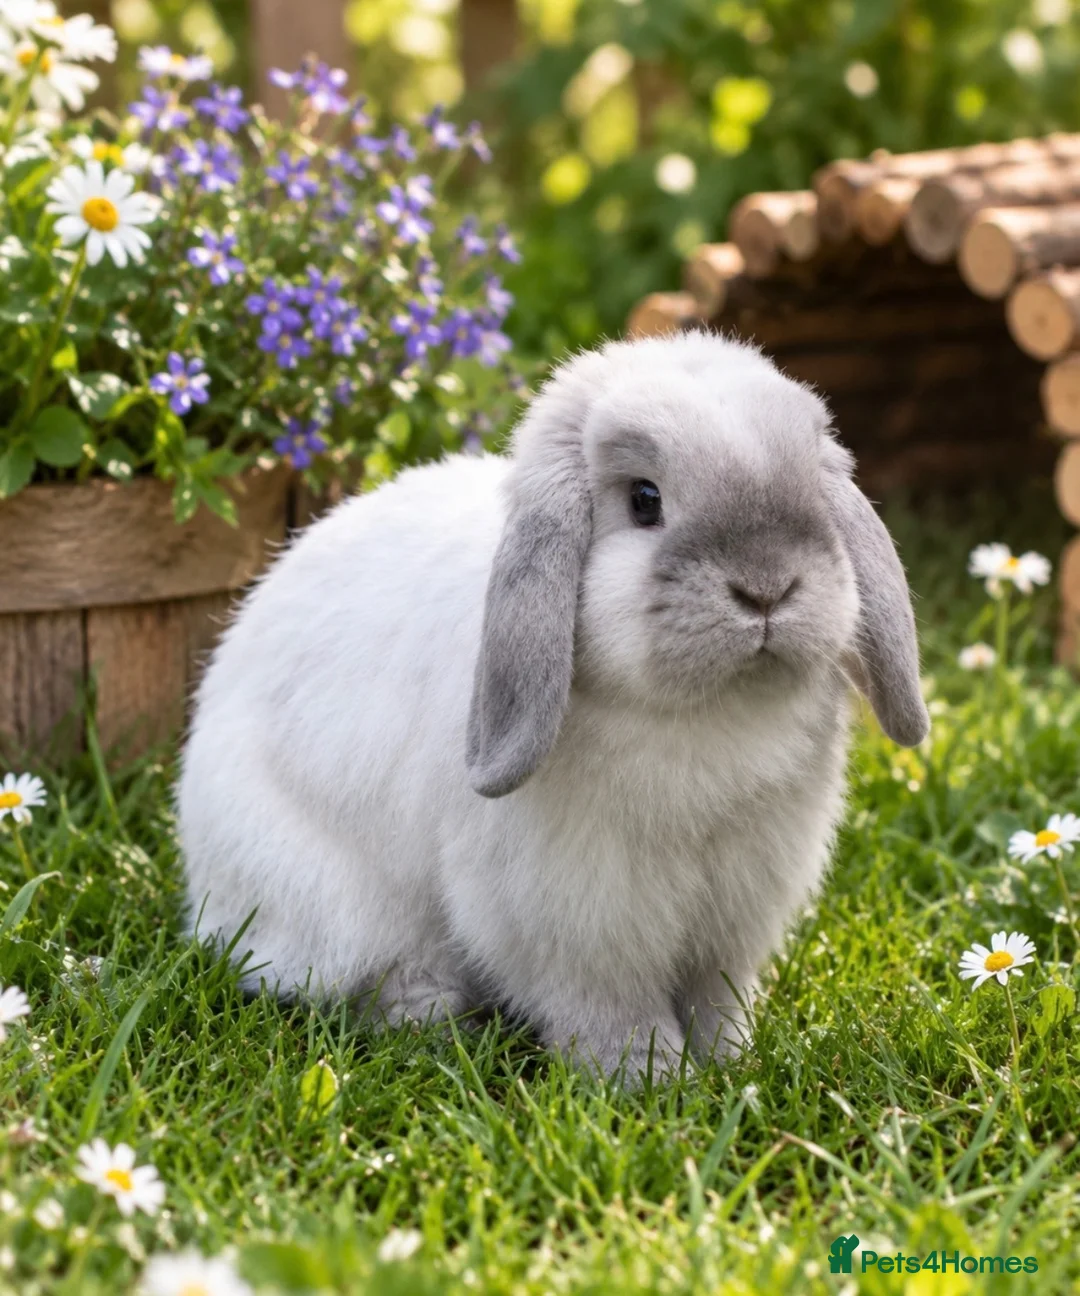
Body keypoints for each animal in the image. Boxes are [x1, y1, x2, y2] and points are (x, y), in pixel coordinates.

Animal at [177, 330, 929, 1081]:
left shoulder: (732, 914)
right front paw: (648, 1078)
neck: (709, 713)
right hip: (336, 909)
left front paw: (731, 1062)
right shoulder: (575, 919)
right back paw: (437, 1023)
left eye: (810, 490)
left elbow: (716, 995)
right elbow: (607, 1005)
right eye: (645, 500)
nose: (767, 586)